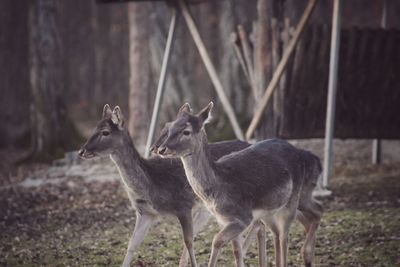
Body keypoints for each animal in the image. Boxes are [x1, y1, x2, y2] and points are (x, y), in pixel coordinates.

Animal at [79, 104, 266, 267]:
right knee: (256, 226)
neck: (152, 184)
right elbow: (132, 244)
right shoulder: (145, 213)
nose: (82, 151)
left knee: (257, 224)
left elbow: (189, 241)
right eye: (95, 128)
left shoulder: (183, 205)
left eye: (105, 132)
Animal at [155, 102, 324, 267]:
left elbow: (217, 241)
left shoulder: (242, 217)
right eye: (170, 128)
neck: (217, 189)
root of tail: (302, 153)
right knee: (303, 218)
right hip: (272, 210)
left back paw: (305, 253)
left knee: (287, 234)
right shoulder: (225, 220)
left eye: (186, 131)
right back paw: (307, 257)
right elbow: (237, 252)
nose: (161, 149)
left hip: (292, 201)